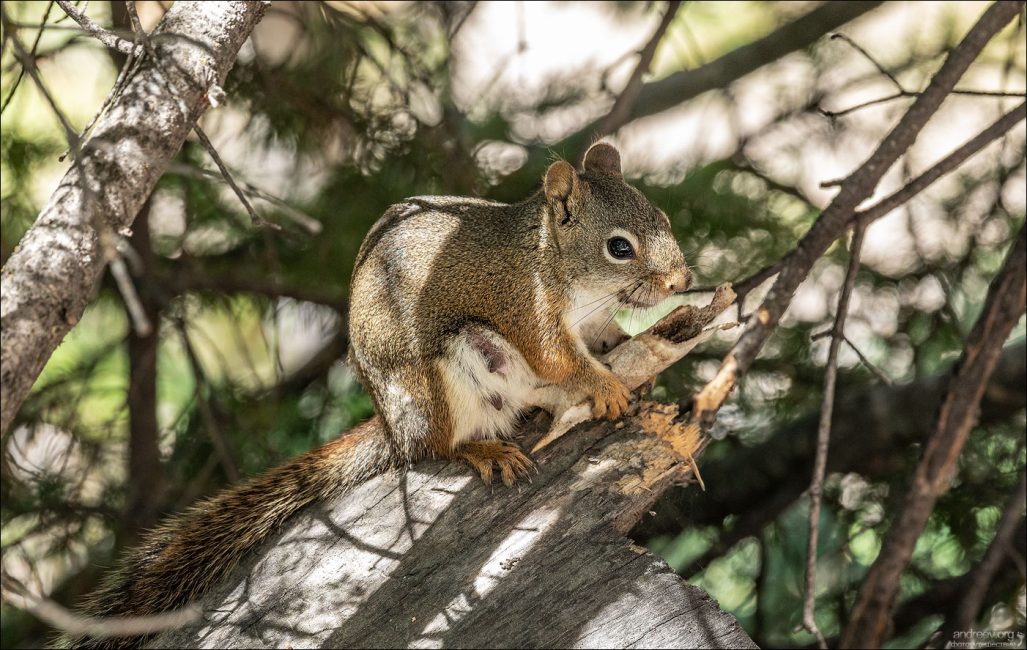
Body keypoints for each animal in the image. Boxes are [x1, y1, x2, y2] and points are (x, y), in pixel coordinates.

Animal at [66, 142, 691, 649]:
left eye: (662, 216)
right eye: (619, 248)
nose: (682, 282)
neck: (560, 269)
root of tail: (391, 424)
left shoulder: (594, 322)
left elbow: (604, 343)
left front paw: (641, 358)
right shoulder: (525, 307)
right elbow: (558, 359)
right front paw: (605, 384)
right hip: (439, 381)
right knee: (433, 448)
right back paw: (481, 449)